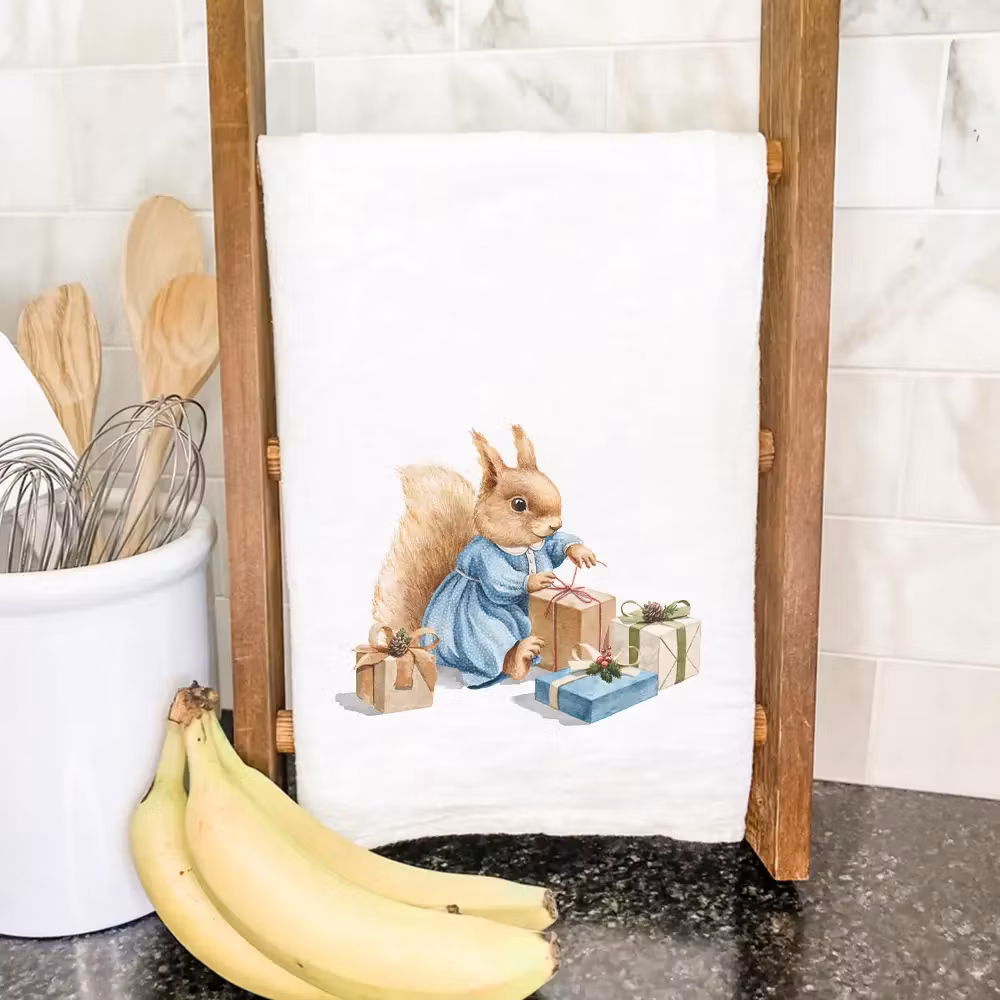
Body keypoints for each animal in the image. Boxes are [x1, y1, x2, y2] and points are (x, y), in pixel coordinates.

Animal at [373, 425, 598, 688]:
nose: (556, 524)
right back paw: (521, 655)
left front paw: (580, 552)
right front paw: (537, 580)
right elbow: (498, 581)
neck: (522, 547)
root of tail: (430, 647)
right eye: (518, 504)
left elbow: (554, 544)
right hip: (481, 635)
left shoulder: (542, 544)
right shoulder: (486, 558)